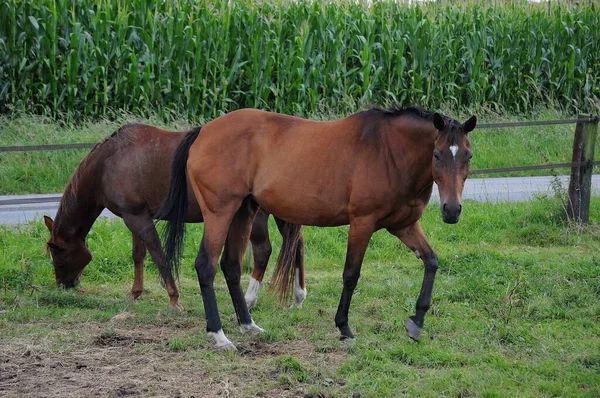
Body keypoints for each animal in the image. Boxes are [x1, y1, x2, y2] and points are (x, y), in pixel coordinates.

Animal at [42, 123, 308, 310]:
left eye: (59, 257)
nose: (64, 285)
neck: (109, 162)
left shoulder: (137, 218)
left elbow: (158, 255)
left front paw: (173, 297)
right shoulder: (135, 215)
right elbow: (138, 255)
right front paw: (135, 293)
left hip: (257, 217)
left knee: (263, 251)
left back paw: (250, 299)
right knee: (297, 245)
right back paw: (298, 297)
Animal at [161, 105, 478, 348]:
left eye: (468, 155)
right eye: (436, 155)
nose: (451, 210)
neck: (388, 152)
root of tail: (203, 131)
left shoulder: (404, 226)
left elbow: (431, 262)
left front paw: (417, 321)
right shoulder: (362, 223)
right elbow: (351, 275)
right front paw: (344, 328)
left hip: (244, 211)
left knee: (230, 266)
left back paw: (248, 325)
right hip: (220, 212)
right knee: (206, 265)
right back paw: (219, 335)